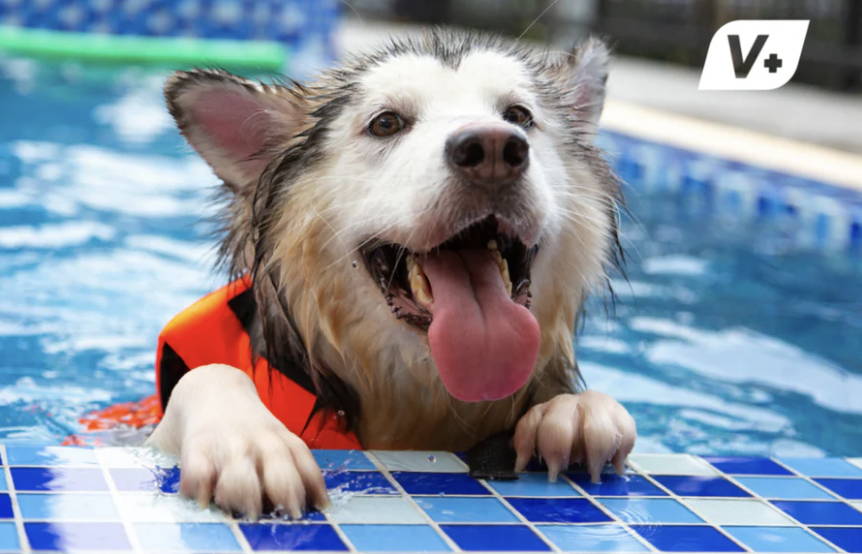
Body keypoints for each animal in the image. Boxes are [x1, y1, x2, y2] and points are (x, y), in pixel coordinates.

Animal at [147, 29, 636, 512]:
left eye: (519, 115)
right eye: (386, 123)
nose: (494, 148)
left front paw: (575, 409)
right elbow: (209, 374)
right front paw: (249, 441)